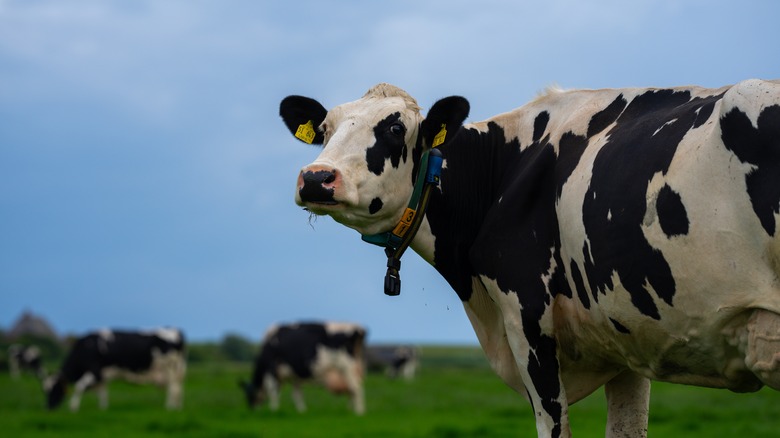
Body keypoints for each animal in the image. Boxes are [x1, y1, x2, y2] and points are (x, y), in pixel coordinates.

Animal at [43, 328, 187, 410]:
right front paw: (103, 408)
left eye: (55, 389)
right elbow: (102, 392)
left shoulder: (95, 372)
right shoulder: (101, 375)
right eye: (45, 390)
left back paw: (170, 407)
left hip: (170, 368)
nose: (48, 407)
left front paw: (73, 407)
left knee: (173, 388)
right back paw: (177, 407)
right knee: (178, 388)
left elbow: (80, 386)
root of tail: (175, 330)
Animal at [239, 322, 368, 414]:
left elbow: (273, 391)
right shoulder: (294, 376)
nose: (252, 409)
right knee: (352, 389)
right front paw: (302, 411)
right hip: (354, 369)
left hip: (347, 367)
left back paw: (359, 412)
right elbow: (297, 394)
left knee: (356, 389)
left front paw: (273, 409)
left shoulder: (271, 369)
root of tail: (357, 328)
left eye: (249, 395)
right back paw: (350, 410)